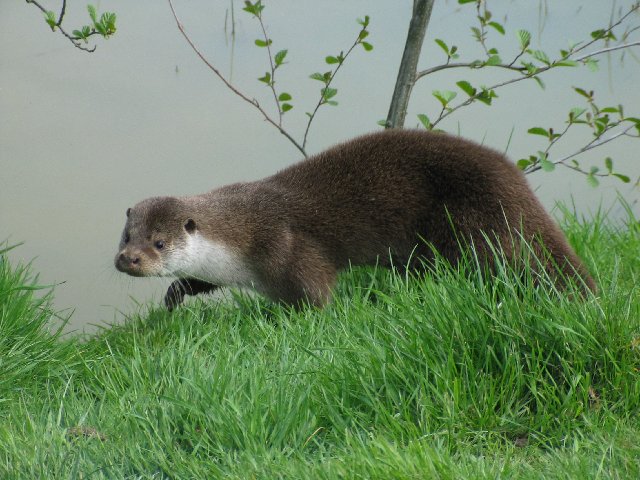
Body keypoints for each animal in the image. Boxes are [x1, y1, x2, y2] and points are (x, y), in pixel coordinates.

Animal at [114, 129, 596, 310]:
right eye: (126, 235)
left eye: (158, 242)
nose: (128, 260)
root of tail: (514, 182)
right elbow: (198, 280)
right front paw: (175, 296)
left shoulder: (287, 246)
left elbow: (318, 292)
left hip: (472, 226)